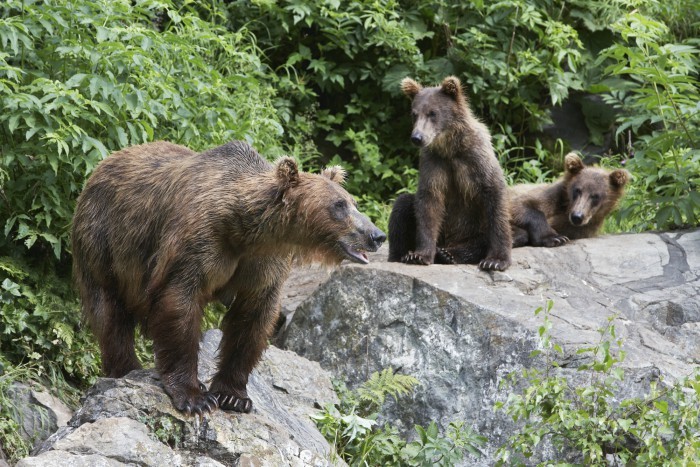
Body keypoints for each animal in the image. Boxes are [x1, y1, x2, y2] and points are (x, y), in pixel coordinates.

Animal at [73, 141, 386, 414]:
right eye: (338, 205)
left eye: (353, 202)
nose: (377, 235)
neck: (246, 230)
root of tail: (102, 164)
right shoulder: (198, 244)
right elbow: (180, 303)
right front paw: (195, 397)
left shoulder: (264, 263)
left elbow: (253, 319)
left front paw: (233, 396)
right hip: (104, 241)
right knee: (110, 313)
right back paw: (126, 368)